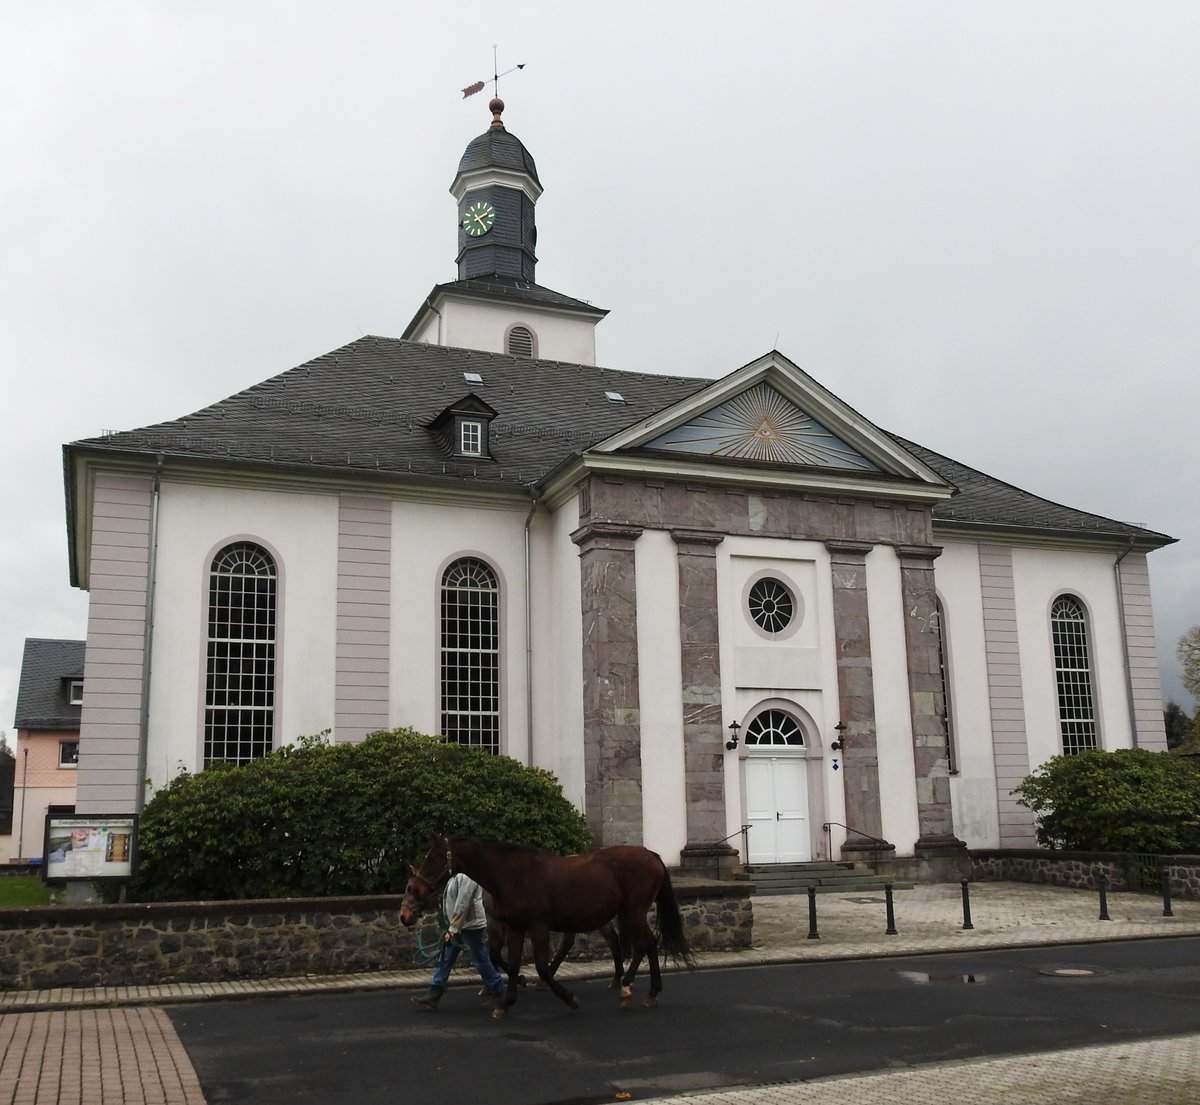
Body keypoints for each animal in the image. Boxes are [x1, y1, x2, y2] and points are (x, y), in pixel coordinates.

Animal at [400, 839, 696, 1012]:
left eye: (433, 858)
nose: (405, 914)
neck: (512, 876)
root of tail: (653, 855)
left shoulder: (537, 926)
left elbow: (540, 966)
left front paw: (568, 997)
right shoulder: (516, 926)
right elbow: (511, 962)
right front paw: (505, 1001)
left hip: (634, 911)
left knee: (643, 944)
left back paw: (637, 988)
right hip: (630, 912)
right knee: (645, 944)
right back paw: (634, 987)